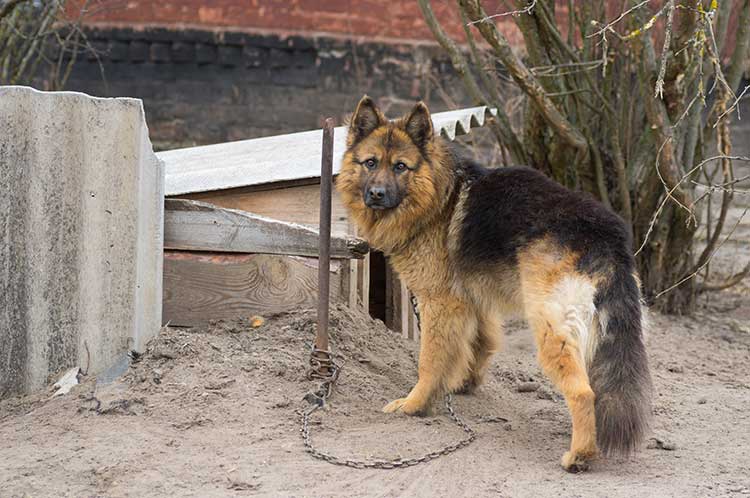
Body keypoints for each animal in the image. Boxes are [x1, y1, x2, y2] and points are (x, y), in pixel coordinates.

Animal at [338, 96, 656, 470]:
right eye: (370, 163)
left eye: (401, 166)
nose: (376, 194)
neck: (439, 198)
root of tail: (605, 234)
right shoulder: (474, 302)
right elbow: (479, 344)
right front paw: (463, 384)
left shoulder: (438, 304)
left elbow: (429, 361)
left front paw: (415, 404)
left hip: (550, 328)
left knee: (582, 392)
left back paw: (579, 455)